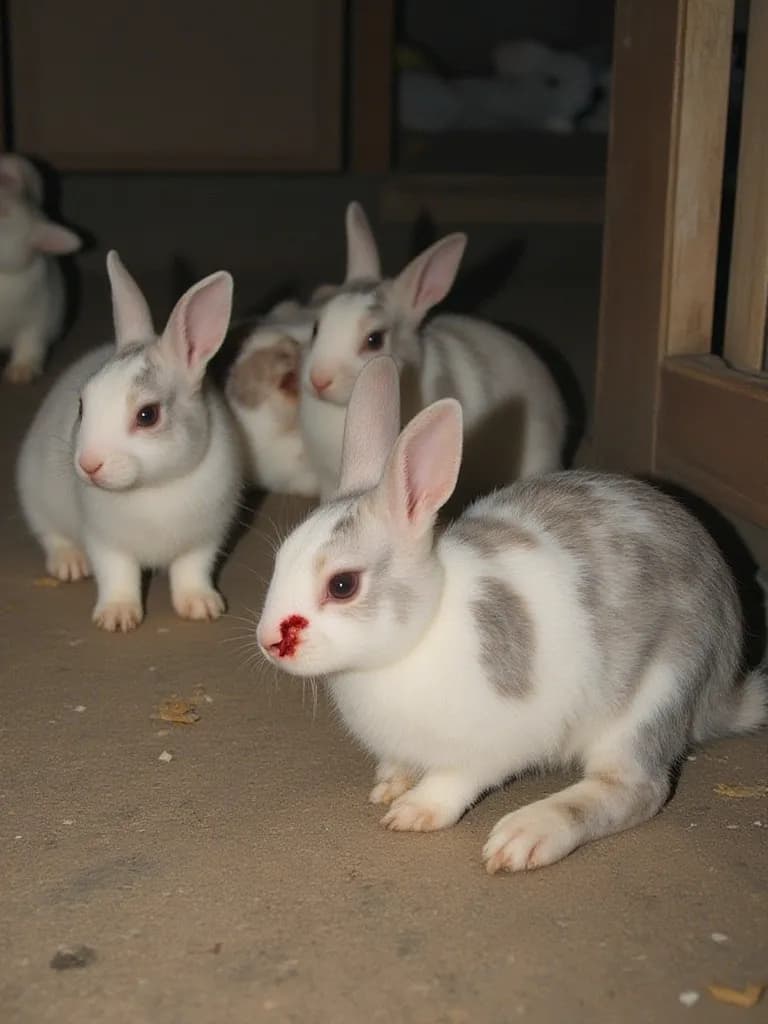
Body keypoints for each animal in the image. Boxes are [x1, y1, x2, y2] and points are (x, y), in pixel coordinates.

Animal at [16, 251, 241, 632]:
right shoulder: (105, 542)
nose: (88, 464)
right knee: (50, 534)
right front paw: (117, 617)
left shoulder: (204, 539)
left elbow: (191, 571)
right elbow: (117, 576)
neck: (155, 487)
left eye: (147, 415)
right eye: (82, 404)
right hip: (36, 496)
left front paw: (201, 606)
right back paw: (70, 564)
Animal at [257, 356, 767, 873]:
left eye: (343, 585)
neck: (419, 633)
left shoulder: (492, 743)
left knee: (636, 789)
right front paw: (389, 784)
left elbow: (455, 780)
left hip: (654, 696)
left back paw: (525, 835)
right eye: (280, 558)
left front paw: (413, 811)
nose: (269, 642)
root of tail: (721, 688)